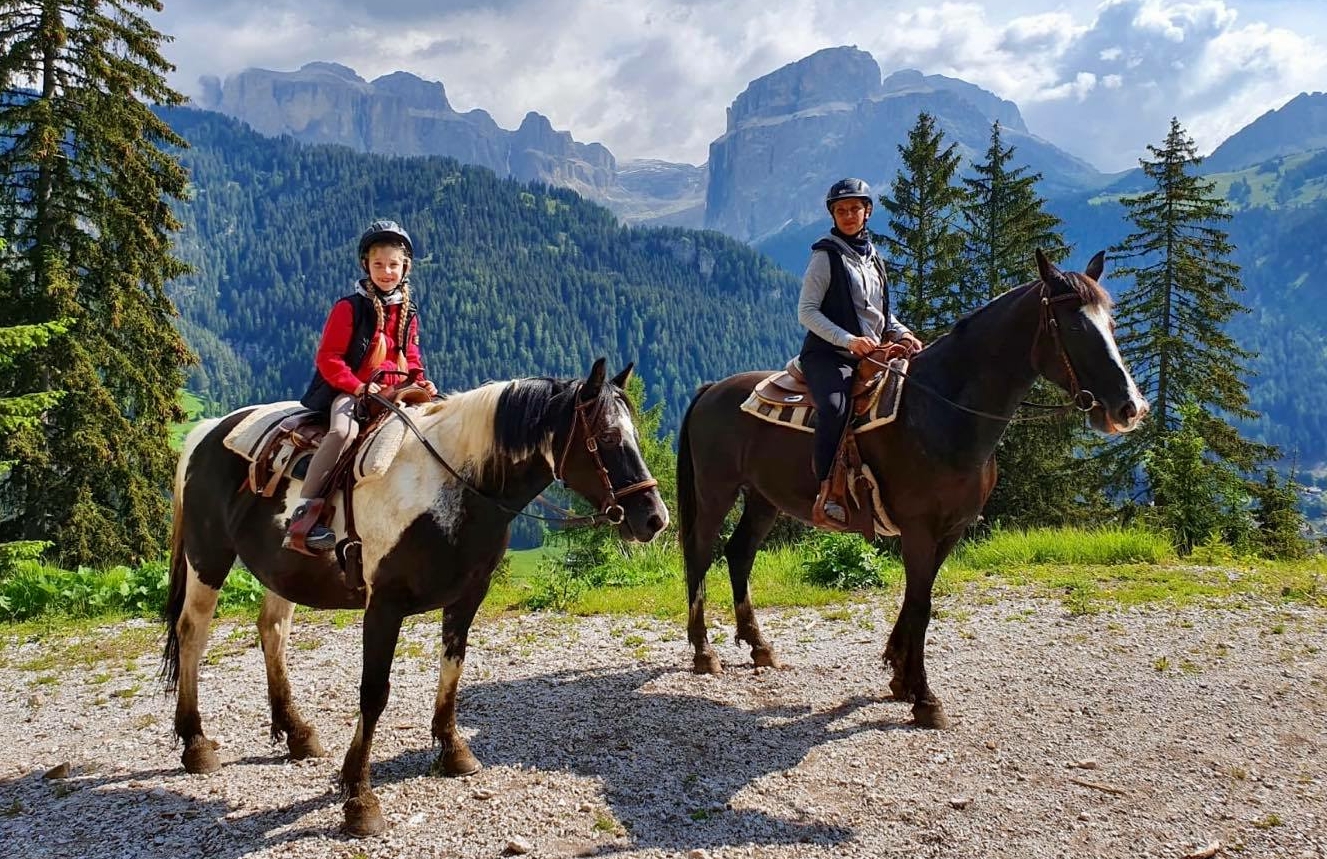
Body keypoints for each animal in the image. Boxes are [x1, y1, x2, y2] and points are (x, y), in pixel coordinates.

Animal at [163, 358, 663, 839]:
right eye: (607, 437)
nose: (655, 518)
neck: (452, 487)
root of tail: (206, 431)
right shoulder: (384, 605)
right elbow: (374, 692)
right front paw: (360, 799)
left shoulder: (468, 596)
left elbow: (452, 669)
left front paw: (453, 750)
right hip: (209, 557)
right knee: (192, 633)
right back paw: (196, 744)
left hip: (279, 572)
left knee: (272, 631)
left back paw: (297, 733)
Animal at [679, 252, 1146, 727]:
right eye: (1074, 326)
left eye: (1111, 323)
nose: (1130, 408)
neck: (941, 410)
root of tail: (711, 390)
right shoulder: (919, 529)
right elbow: (921, 605)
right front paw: (924, 698)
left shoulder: (951, 530)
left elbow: (916, 599)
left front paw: (900, 676)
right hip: (716, 492)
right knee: (700, 552)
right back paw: (704, 653)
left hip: (762, 499)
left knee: (740, 552)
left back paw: (760, 647)